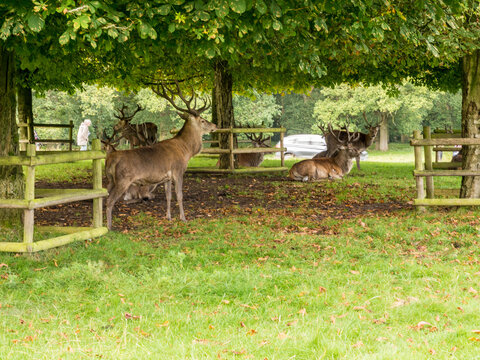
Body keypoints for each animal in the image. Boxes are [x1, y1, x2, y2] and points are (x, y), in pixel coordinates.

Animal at [107, 80, 218, 229]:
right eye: (202, 120)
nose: (215, 125)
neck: (186, 151)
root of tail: (110, 159)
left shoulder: (167, 177)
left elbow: (168, 196)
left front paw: (168, 217)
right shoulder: (178, 171)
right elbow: (179, 195)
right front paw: (183, 218)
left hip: (110, 180)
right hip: (122, 180)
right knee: (110, 201)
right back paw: (109, 227)